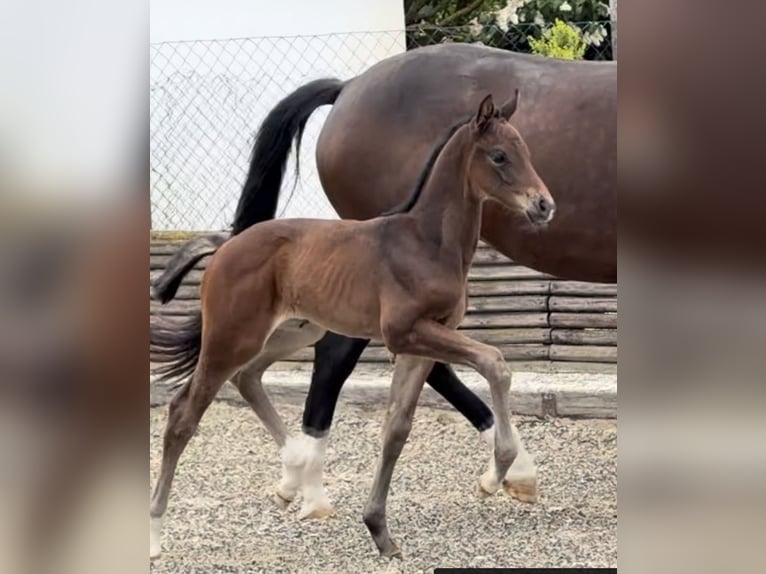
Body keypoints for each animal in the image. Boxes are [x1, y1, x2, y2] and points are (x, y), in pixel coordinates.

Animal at [151, 44, 616, 523]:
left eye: (527, 151)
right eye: (500, 156)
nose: (544, 205)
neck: (425, 238)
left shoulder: (428, 329)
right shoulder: (406, 328)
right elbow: (494, 362)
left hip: (290, 329)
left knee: (253, 375)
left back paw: (296, 476)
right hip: (242, 333)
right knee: (239, 388)